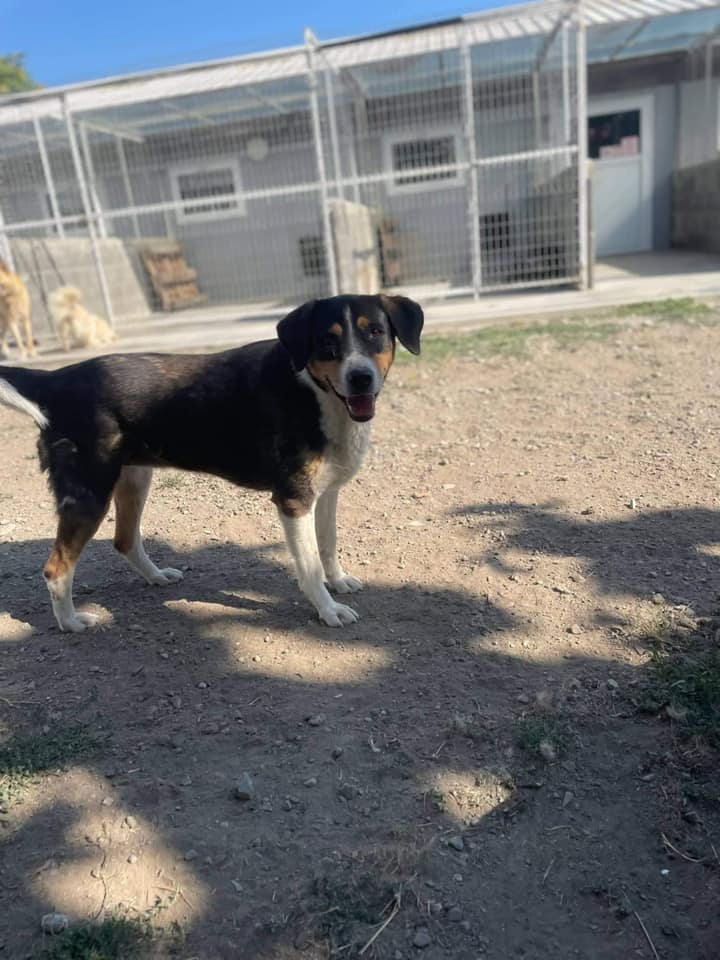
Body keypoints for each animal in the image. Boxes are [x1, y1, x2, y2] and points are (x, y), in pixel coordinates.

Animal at [0, 294, 423, 632]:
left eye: (376, 332)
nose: (360, 378)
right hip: (88, 495)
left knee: (124, 540)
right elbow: (309, 565)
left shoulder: (327, 493)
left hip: (134, 480)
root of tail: (55, 379)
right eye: (326, 341)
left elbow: (328, 545)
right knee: (56, 569)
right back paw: (71, 621)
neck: (315, 392)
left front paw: (339, 582)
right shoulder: (294, 501)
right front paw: (328, 609)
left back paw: (156, 577)